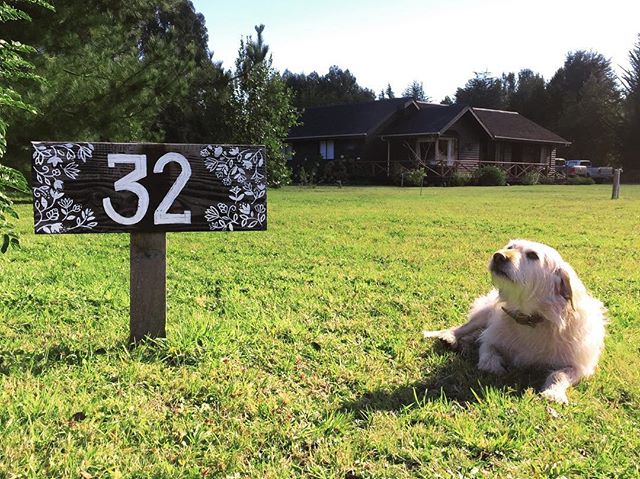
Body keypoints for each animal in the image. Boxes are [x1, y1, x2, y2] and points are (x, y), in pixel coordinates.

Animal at [422, 240, 608, 404]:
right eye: (509, 247)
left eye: (533, 255)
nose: (498, 256)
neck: (530, 319)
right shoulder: (492, 338)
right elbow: (487, 352)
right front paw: (494, 365)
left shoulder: (579, 367)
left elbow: (558, 374)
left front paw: (553, 393)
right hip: (482, 315)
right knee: (464, 328)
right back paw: (449, 337)